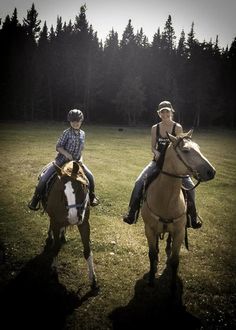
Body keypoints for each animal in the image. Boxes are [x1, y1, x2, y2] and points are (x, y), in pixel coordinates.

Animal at [43, 161, 97, 290]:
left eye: (80, 188)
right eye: (61, 191)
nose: (73, 218)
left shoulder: (84, 223)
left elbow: (87, 250)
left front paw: (93, 278)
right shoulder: (55, 222)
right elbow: (56, 247)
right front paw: (53, 269)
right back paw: (50, 236)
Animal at [141, 130, 215, 288]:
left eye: (198, 147)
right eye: (185, 150)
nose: (211, 172)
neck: (165, 199)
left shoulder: (180, 231)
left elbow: (175, 260)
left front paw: (173, 286)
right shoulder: (149, 229)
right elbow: (152, 254)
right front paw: (151, 279)